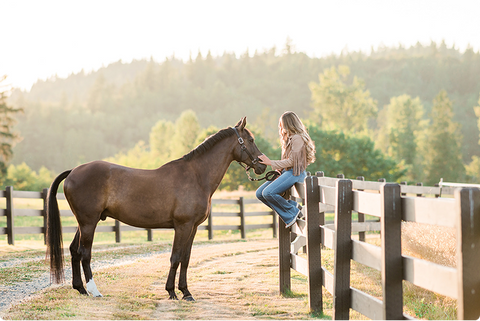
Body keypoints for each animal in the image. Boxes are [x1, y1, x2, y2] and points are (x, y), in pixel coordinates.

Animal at [47, 117, 266, 300]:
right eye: (251, 140)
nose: (262, 166)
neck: (196, 176)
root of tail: (73, 171)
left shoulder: (193, 228)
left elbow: (186, 258)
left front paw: (186, 292)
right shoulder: (183, 226)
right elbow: (175, 257)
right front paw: (172, 292)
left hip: (82, 222)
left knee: (74, 250)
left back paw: (81, 289)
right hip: (89, 222)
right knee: (85, 253)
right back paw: (94, 290)